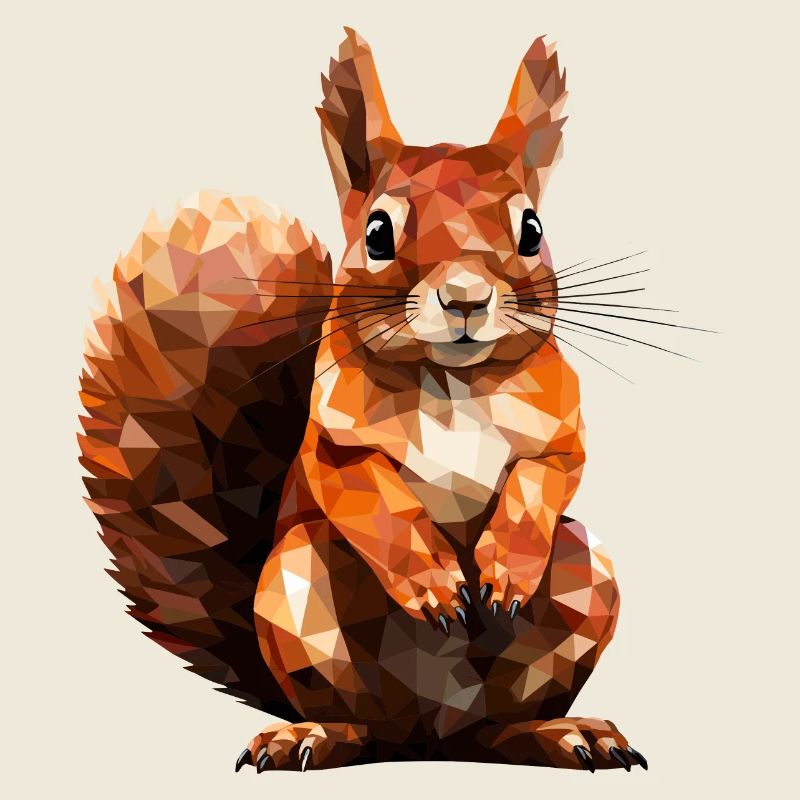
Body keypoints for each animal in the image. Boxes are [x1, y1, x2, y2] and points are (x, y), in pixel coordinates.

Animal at [79, 28, 647, 774]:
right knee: (361, 724)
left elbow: (545, 479)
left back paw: (563, 732)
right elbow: (371, 495)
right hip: (296, 590)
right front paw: (434, 581)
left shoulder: (559, 431)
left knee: (499, 727)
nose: (465, 298)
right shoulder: (332, 441)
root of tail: (432, 738)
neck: (452, 383)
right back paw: (312, 734)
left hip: (587, 578)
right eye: (377, 234)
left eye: (532, 230)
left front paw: (504, 568)